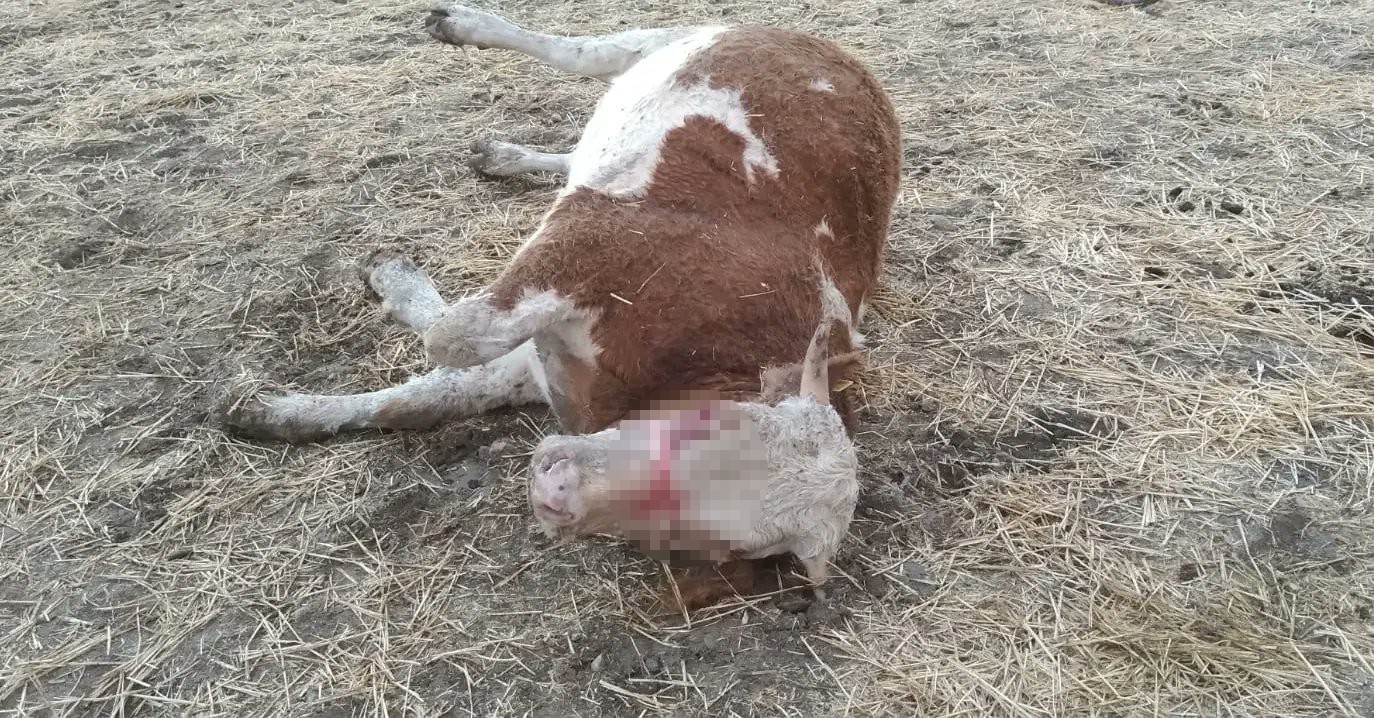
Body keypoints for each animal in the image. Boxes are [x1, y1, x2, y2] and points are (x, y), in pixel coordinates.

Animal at [228, 5, 901, 612]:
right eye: (711, 427)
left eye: (707, 534)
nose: (554, 491)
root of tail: (840, 53)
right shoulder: (594, 238)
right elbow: (454, 335)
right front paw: (393, 279)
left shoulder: (548, 365)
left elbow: (423, 397)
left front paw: (271, 414)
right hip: (669, 41)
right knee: (582, 53)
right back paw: (461, 26)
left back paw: (503, 154)